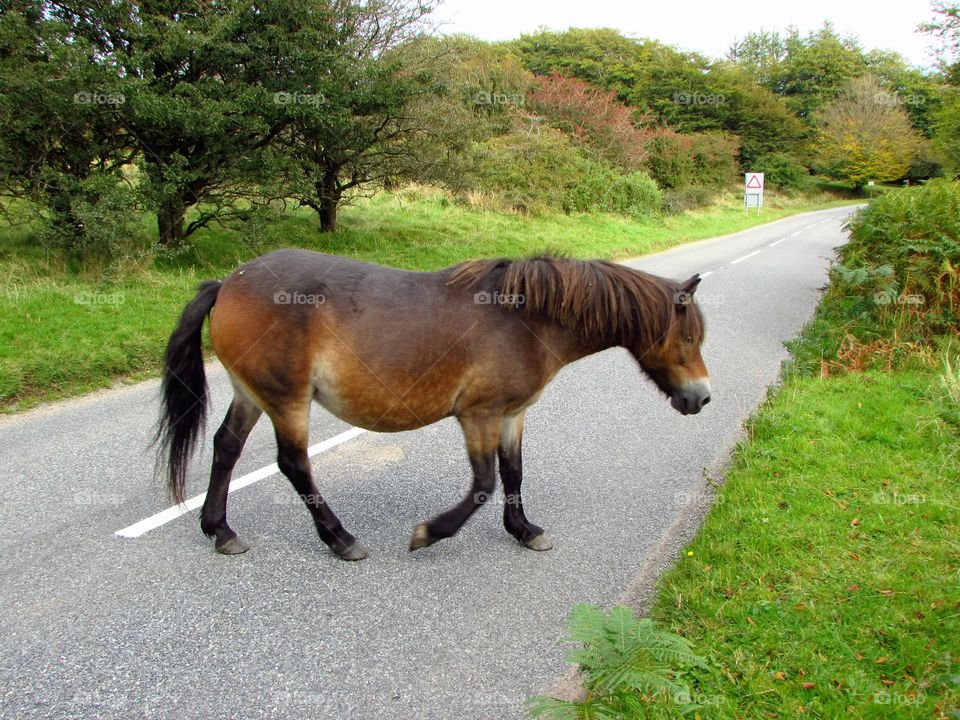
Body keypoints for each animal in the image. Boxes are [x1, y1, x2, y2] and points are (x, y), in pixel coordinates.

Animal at [158, 250, 708, 560]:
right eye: (687, 338)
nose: (701, 397)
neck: (525, 319)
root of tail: (227, 283)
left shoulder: (511, 415)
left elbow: (514, 474)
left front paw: (524, 531)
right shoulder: (479, 416)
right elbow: (485, 483)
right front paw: (430, 533)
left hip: (252, 394)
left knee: (226, 447)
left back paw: (220, 530)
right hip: (287, 400)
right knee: (293, 464)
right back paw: (341, 540)